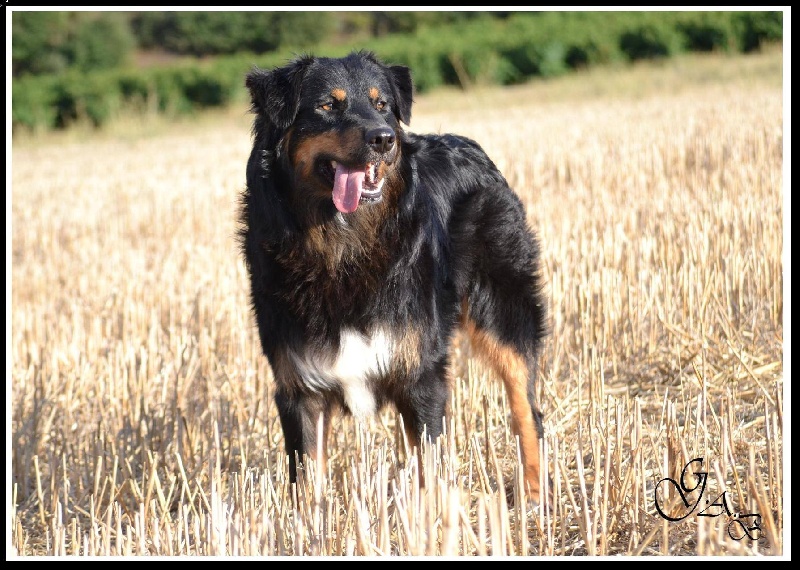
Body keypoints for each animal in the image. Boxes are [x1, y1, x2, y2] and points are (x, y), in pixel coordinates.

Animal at [239, 48, 552, 502]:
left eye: (382, 104)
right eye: (327, 105)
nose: (385, 138)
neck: (341, 245)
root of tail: (471, 146)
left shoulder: (420, 374)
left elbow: (429, 468)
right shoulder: (300, 387)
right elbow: (308, 482)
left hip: (503, 310)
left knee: (527, 408)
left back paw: (534, 496)